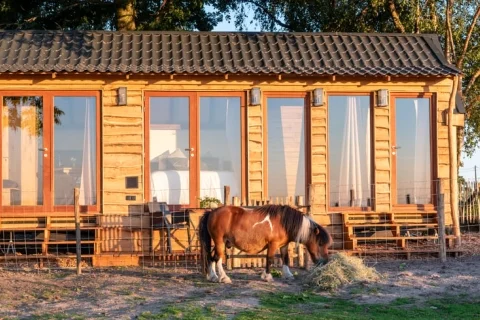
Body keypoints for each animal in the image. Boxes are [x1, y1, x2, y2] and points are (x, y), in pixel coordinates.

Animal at [197, 205, 332, 282]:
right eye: (320, 244)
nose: (326, 261)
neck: (283, 222)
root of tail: (211, 212)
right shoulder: (273, 244)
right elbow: (270, 259)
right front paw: (267, 276)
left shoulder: (283, 245)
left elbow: (285, 259)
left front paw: (288, 275)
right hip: (219, 242)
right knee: (217, 258)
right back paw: (223, 277)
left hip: (220, 243)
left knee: (211, 258)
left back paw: (213, 276)